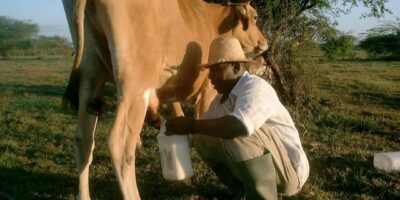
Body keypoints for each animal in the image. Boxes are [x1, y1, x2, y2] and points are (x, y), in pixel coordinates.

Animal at [61, 0, 268, 198]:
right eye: (255, 17)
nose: (265, 42)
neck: (212, 21)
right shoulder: (208, 88)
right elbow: (203, 120)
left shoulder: (171, 88)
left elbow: (178, 113)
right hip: (135, 84)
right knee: (119, 144)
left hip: (91, 73)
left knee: (83, 139)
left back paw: (84, 195)